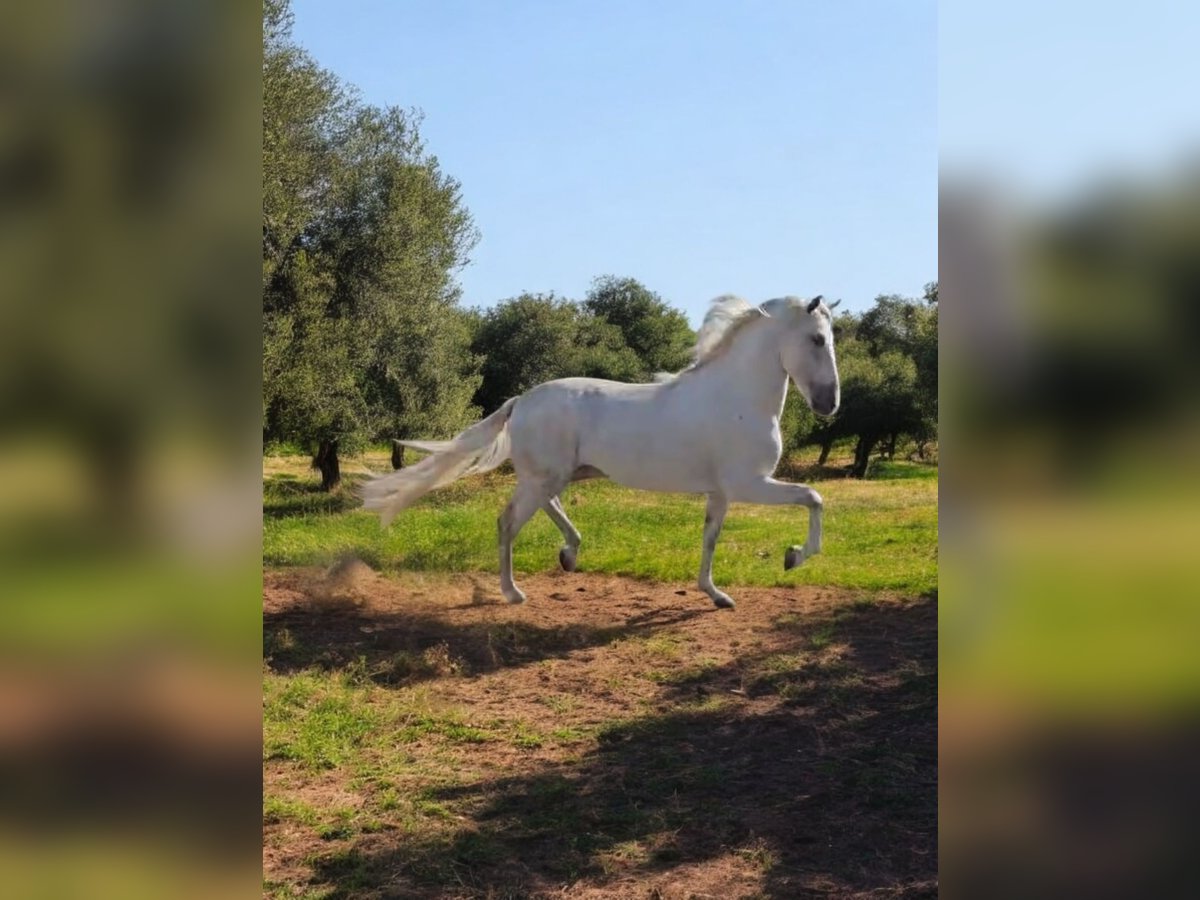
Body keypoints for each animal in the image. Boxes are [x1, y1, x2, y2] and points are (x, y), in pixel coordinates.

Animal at [360, 296, 840, 614]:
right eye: (818, 339)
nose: (829, 405)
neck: (737, 398)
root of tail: (522, 401)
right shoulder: (749, 484)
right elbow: (814, 498)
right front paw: (794, 556)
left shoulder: (721, 492)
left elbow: (710, 540)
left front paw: (716, 595)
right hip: (546, 477)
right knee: (508, 522)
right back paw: (514, 592)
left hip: (560, 474)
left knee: (546, 507)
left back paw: (569, 554)